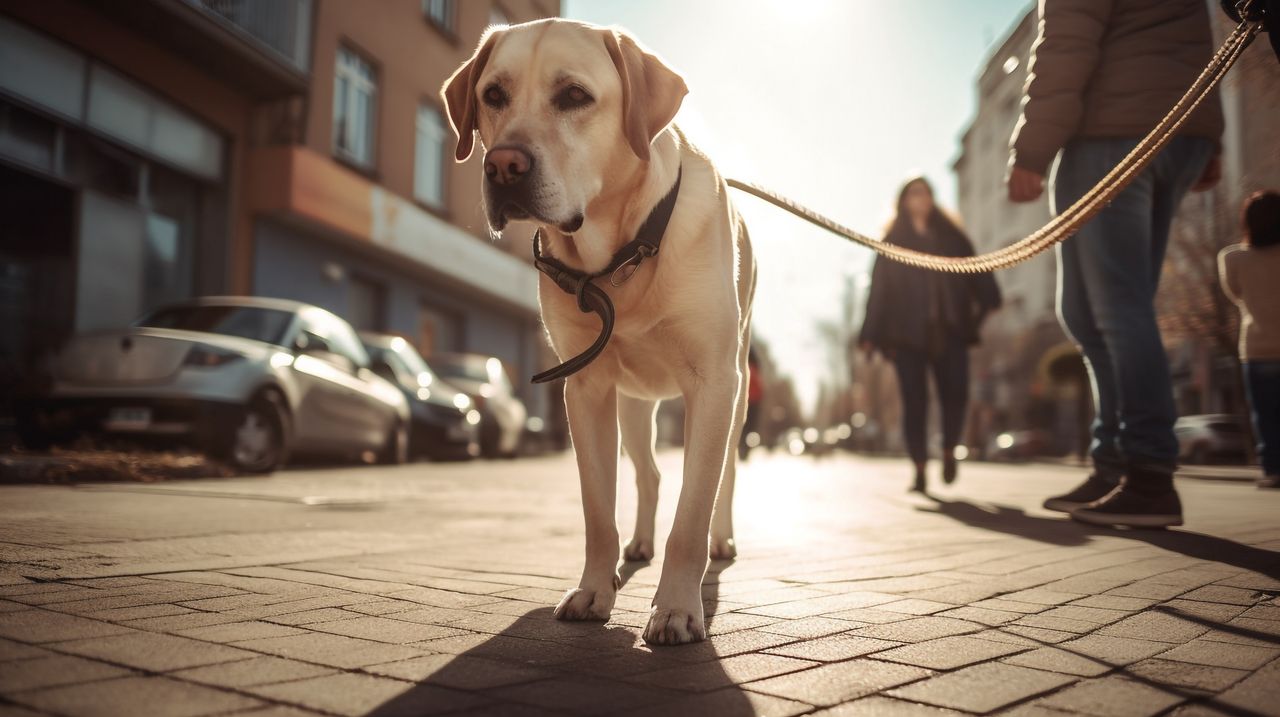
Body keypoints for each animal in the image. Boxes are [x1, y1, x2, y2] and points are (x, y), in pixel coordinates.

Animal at [445, 18, 752, 645]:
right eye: (493, 95)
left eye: (574, 96)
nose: (503, 166)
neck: (621, 259)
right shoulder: (585, 389)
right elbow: (596, 507)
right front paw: (594, 588)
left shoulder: (713, 383)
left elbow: (693, 509)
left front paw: (677, 606)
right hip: (634, 406)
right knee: (651, 473)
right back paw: (637, 545)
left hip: (736, 398)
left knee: (725, 476)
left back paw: (720, 541)